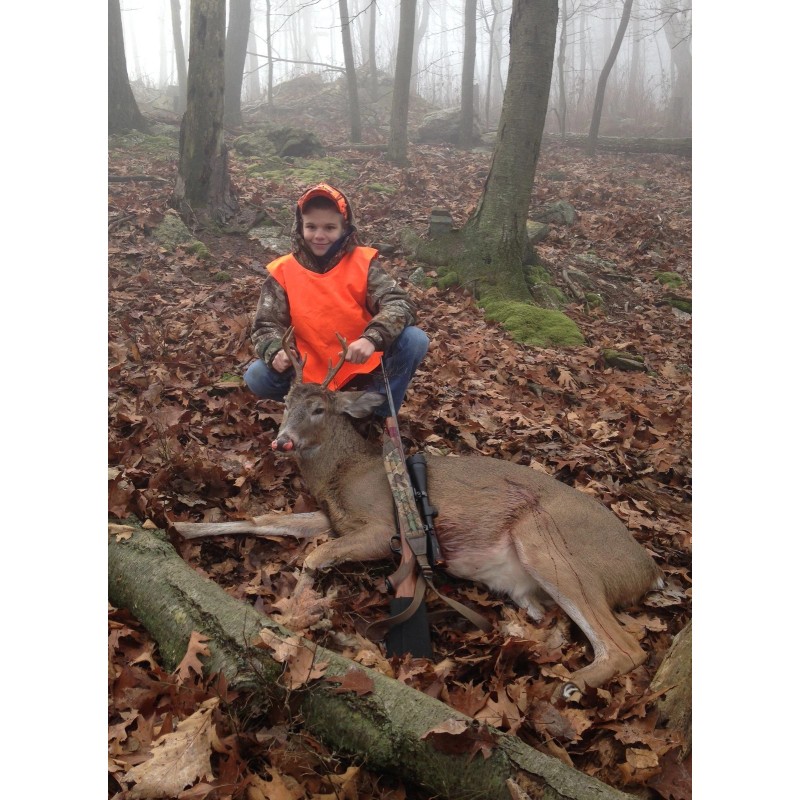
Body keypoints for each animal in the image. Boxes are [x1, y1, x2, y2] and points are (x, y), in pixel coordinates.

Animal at [174, 330, 664, 699]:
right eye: (285, 402)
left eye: (318, 408)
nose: (282, 441)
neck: (345, 472)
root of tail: (648, 569)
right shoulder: (333, 517)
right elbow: (266, 521)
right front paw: (178, 525)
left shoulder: (380, 527)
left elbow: (313, 557)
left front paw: (293, 621)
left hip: (552, 542)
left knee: (627, 647)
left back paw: (571, 686)